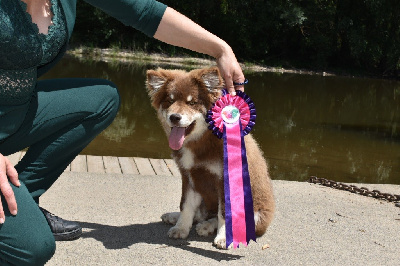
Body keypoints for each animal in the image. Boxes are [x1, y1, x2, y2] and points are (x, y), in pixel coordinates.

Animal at [147, 66, 276, 249]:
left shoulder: (224, 180)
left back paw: (208, 226)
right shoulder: (189, 176)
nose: (174, 117)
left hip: (255, 214)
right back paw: (175, 217)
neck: (201, 140)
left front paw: (224, 237)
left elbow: (224, 214)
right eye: (170, 101)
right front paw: (181, 227)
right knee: (200, 213)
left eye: (192, 102)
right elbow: (185, 205)